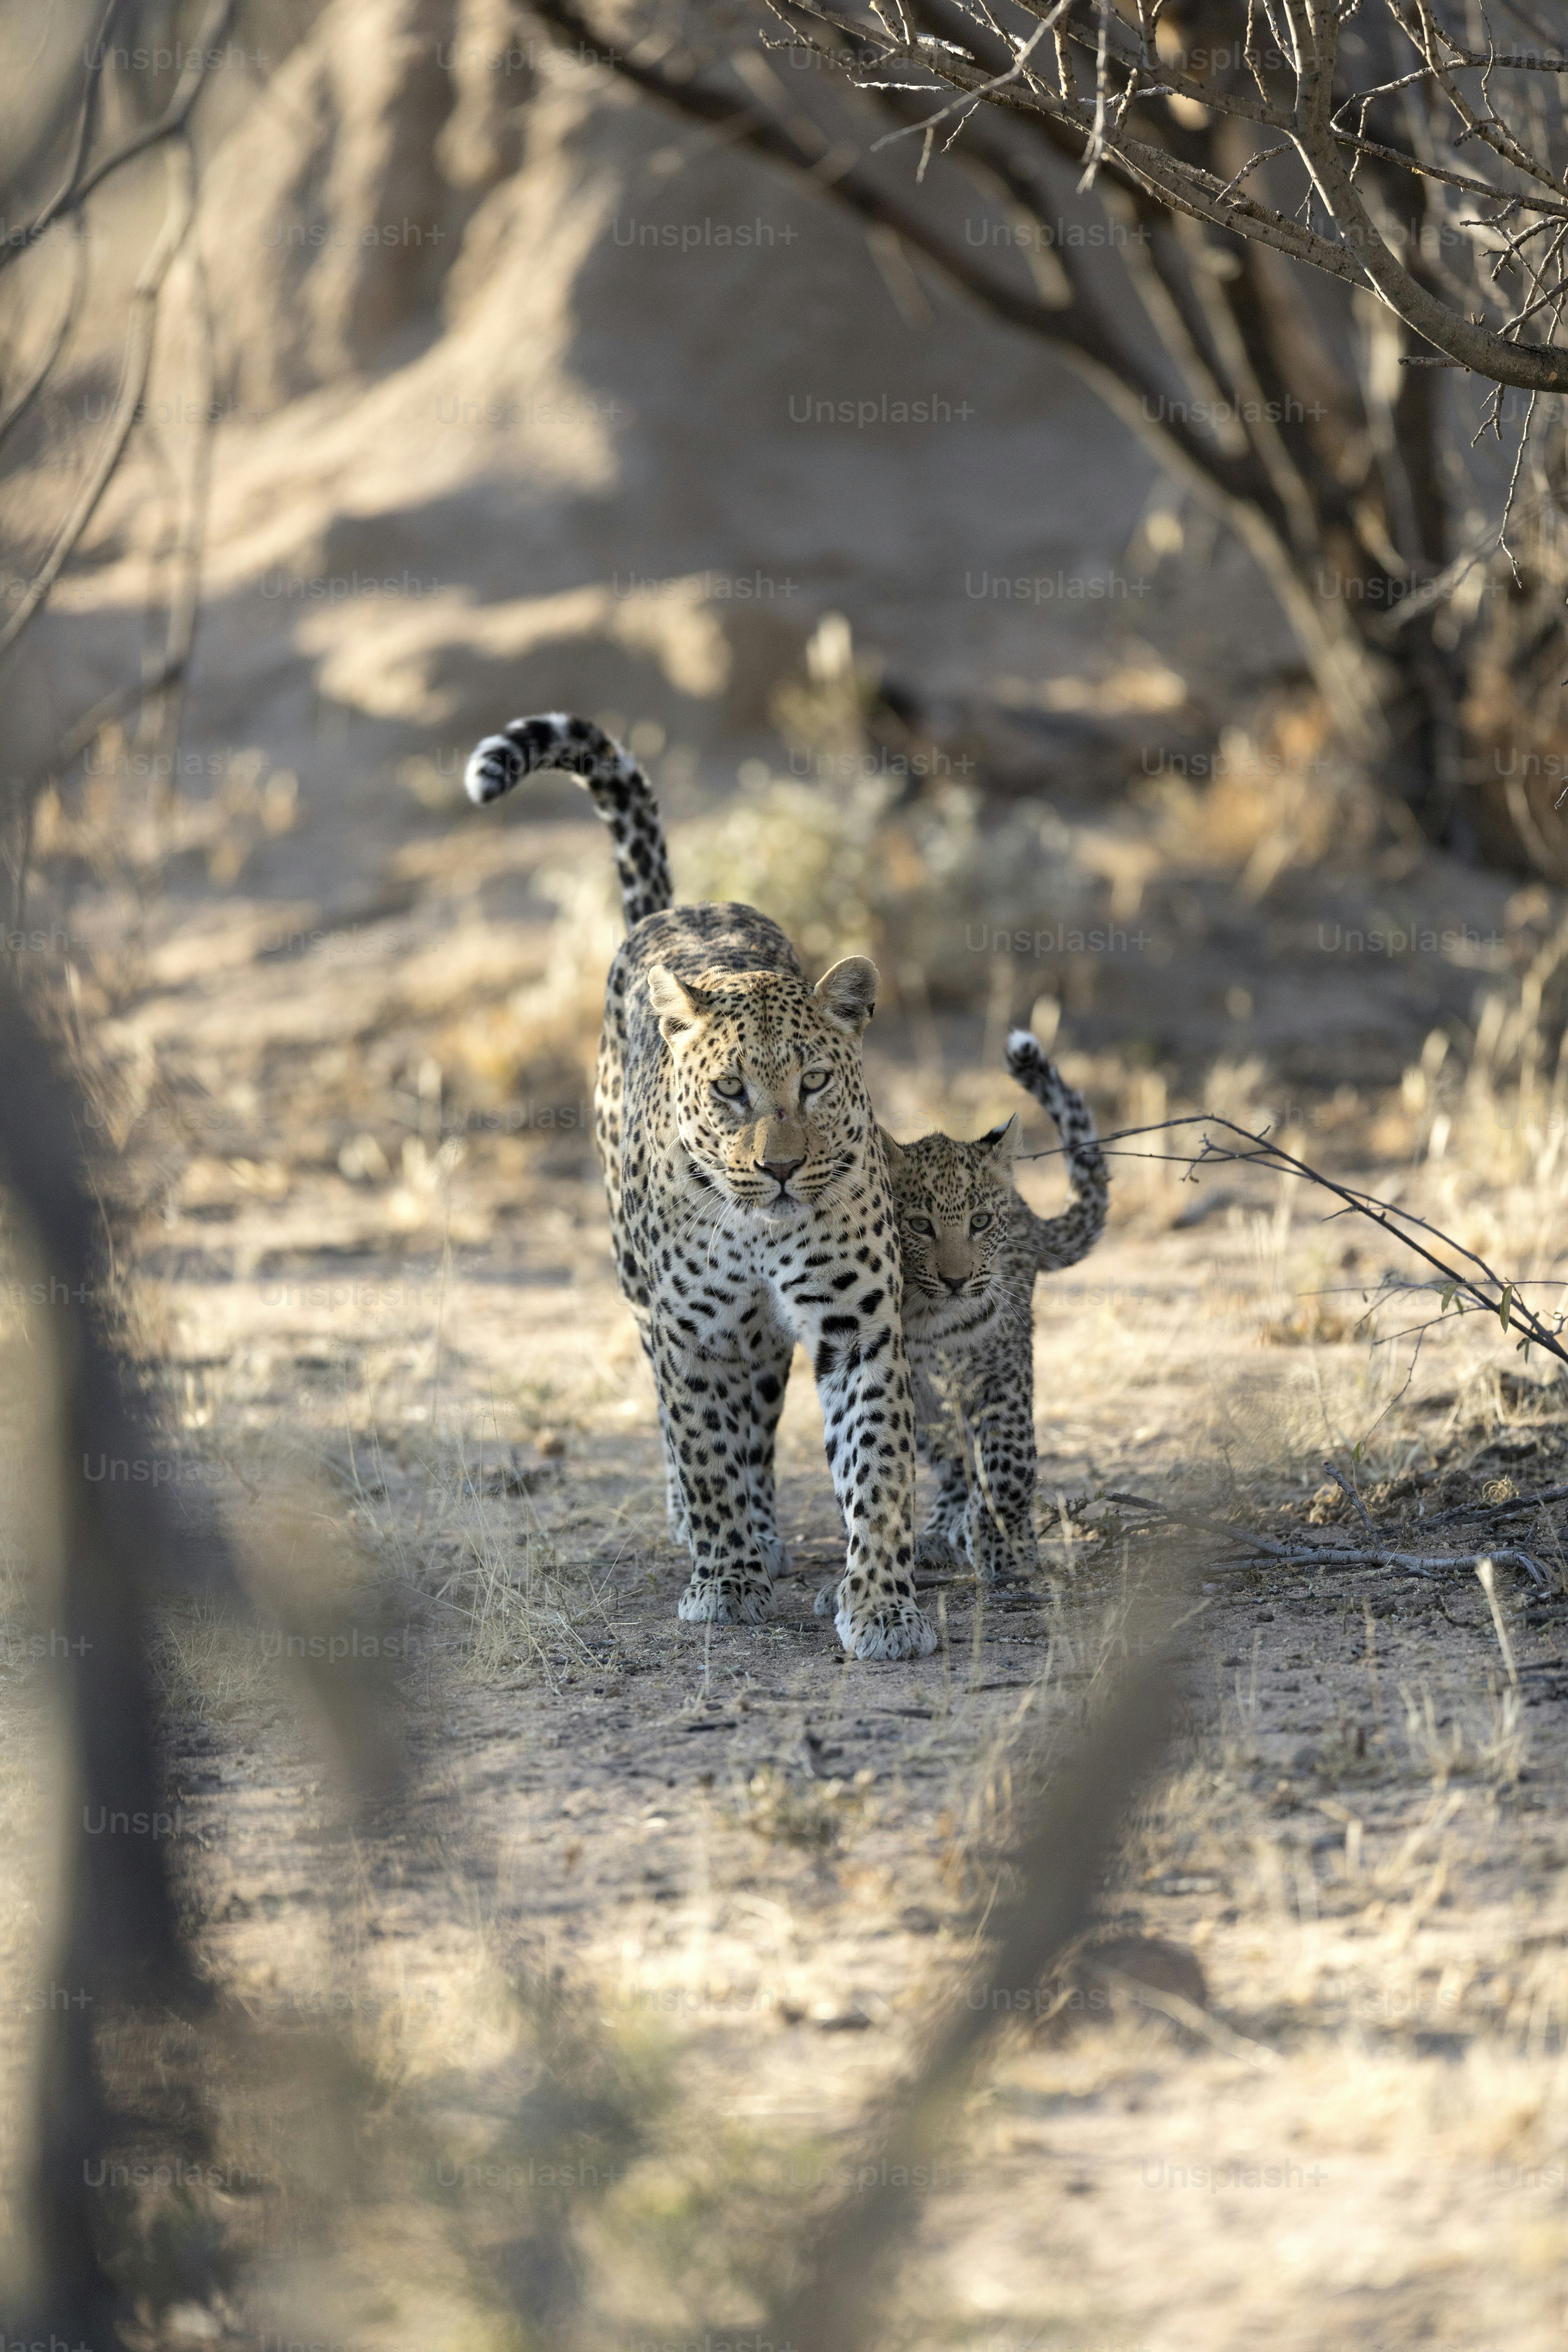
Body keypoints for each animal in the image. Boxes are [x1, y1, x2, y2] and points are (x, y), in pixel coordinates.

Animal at [464, 711, 936, 1661]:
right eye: (729, 1091)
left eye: (814, 1083)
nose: (781, 1167)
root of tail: (678, 909)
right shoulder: (689, 1333)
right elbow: (703, 1451)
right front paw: (722, 1582)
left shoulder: (857, 1326)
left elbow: (874, 1466)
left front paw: (880, 1606)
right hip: (642, 1288)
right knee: (688, 1429)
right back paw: (712, 1533)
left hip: (758, 1341)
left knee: (756, 1424)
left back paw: (766, 1535)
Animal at [882, 1034, 1108, 1585]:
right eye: (919, 1226)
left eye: (980, 1222)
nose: (956, 1280)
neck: (929, 1318)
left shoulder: (1003, 1374)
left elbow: (1009, 1463)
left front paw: (1008, 1551)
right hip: (931, 1404)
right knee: (955, 1465)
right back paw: (942, 1532)